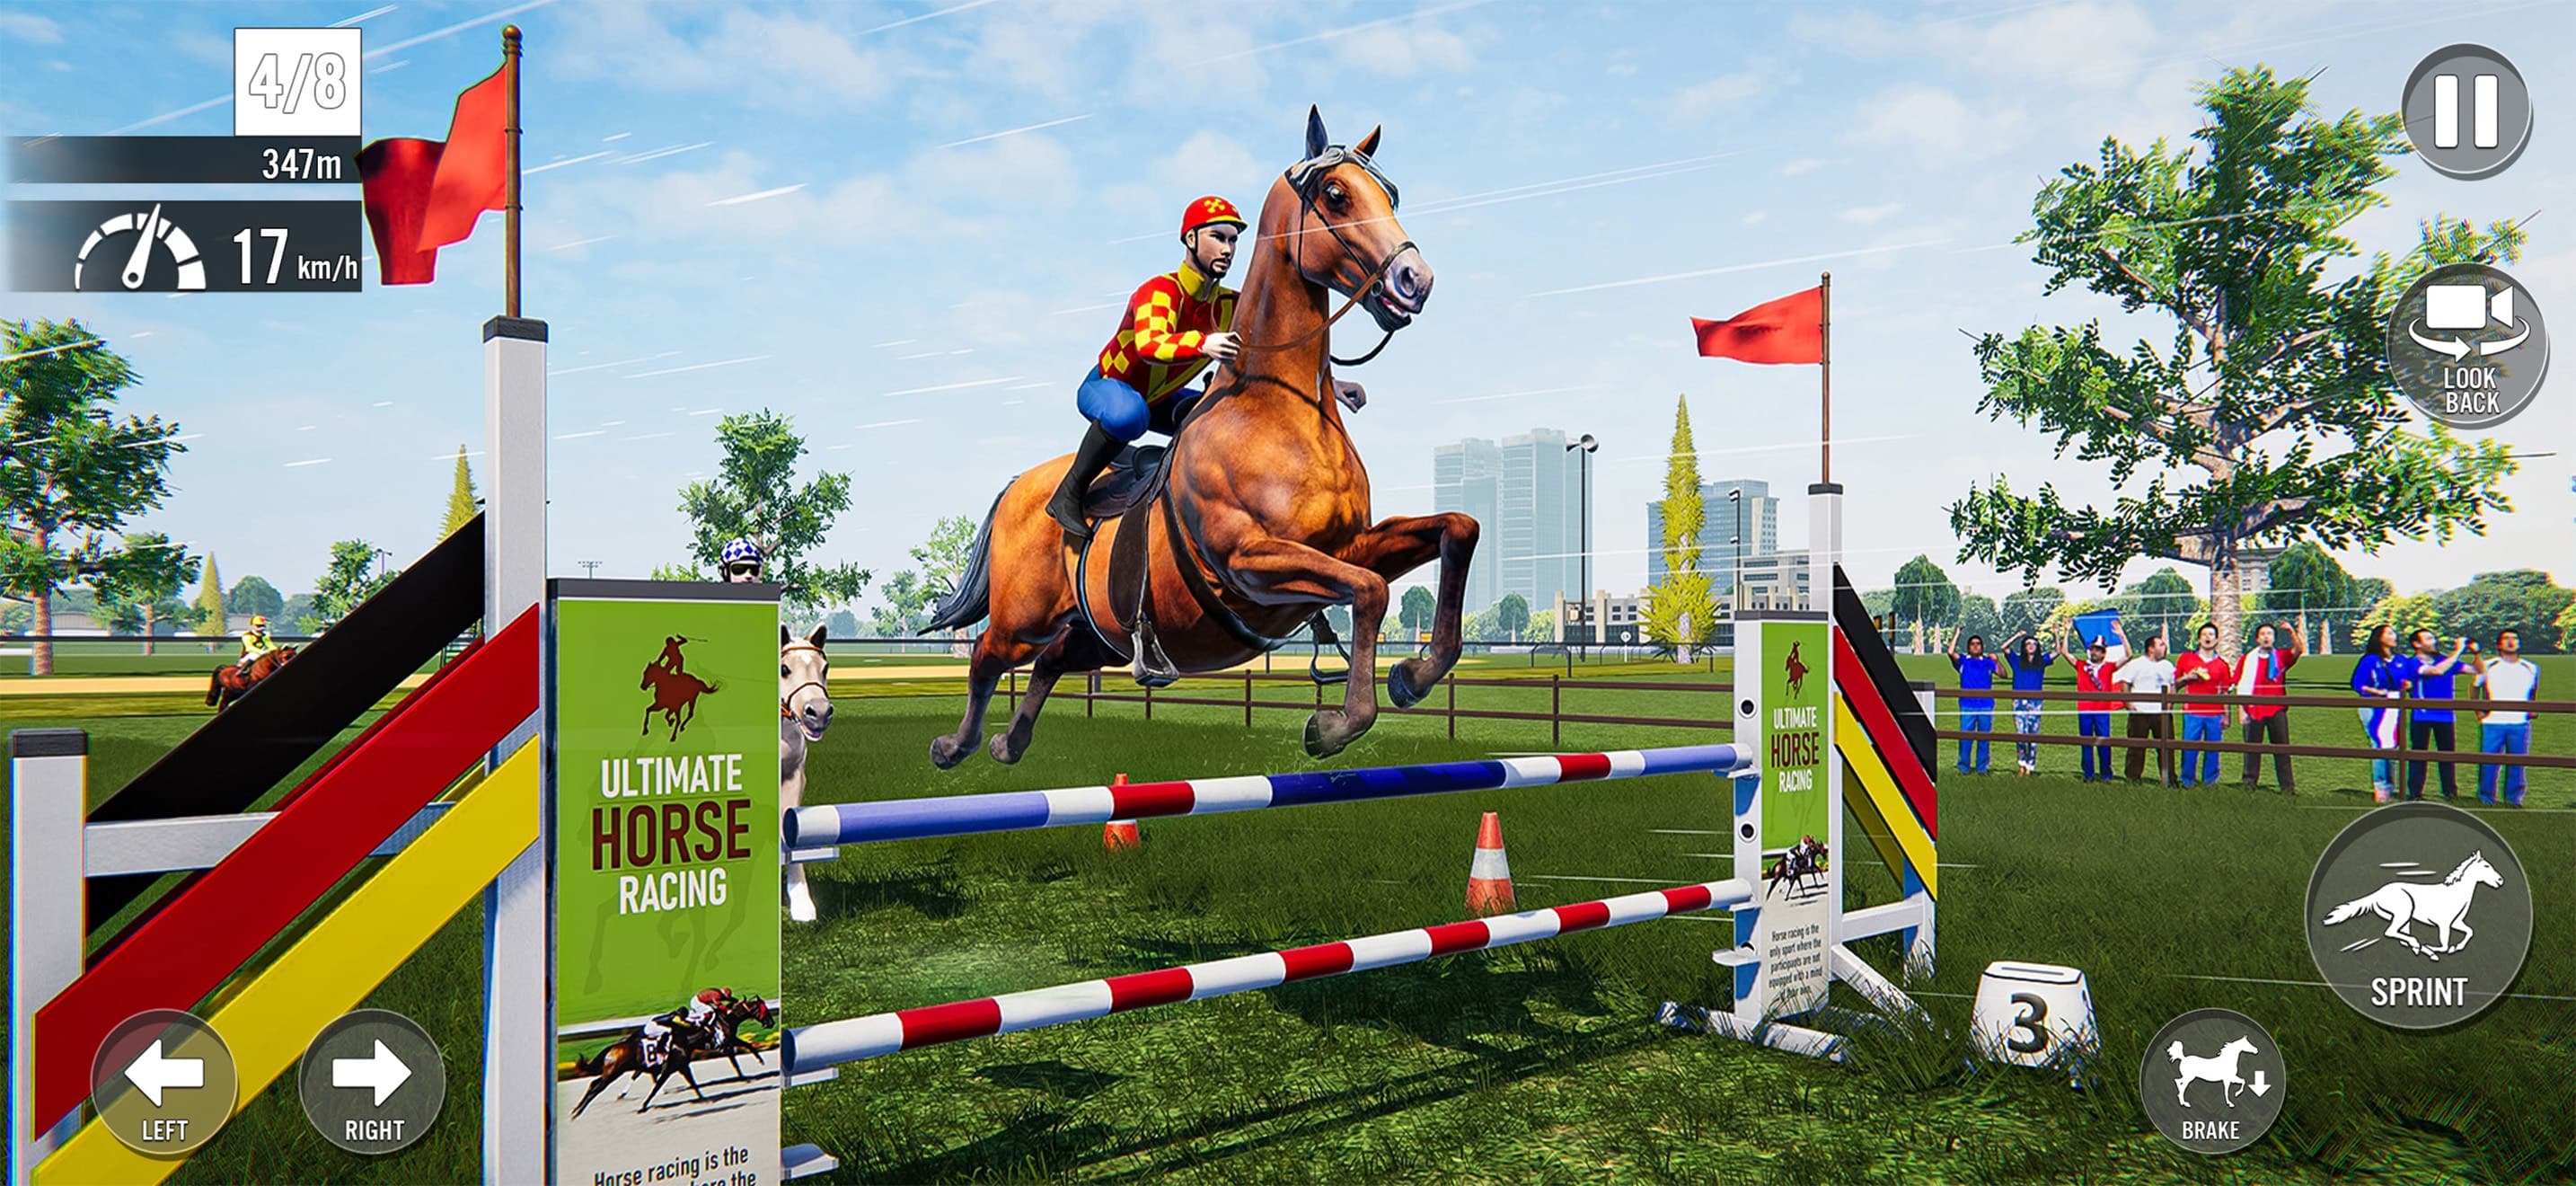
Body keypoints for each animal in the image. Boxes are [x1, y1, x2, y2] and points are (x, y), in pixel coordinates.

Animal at [566, 995, 777, 1119]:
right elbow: (740, 1053)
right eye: (763, 1009)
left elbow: (691, 1081)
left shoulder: (682, 1064)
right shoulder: (724, 1042)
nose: (771, 1022)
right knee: (597, 1086)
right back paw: (578, 1111)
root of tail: (614, 1047)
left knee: (599, 1083)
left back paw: (580, 1109)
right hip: (614, 1071)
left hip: (617, 1070)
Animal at [924, 107, 1470, 768]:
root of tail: (1018, 486)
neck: (1280, 410)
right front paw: (1336, 724)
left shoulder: (1348, 547)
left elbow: (1457, 530)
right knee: (985, 658)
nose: (1416, 279)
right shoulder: (1250, 562)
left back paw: (1012, 741)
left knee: (1052, 660)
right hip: (1020, 618)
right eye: (1336, 195)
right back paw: (955, 744)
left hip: (1098, 633)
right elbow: (1368, 593)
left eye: (1390, 194)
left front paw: (1414, 675)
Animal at [2320, 850, 2504, 961]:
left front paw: (2456, 948)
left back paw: (2420, 949)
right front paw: (2437, 949)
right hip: (2404, 913)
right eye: (2486, 866)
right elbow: (2444, 945)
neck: (2456, 893)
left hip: (2403, 918)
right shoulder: (2444, 924)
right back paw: (2421, 947)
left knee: (2401, 936)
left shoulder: (2456, 922)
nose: (2500, 880)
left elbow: (2469, 932)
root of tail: (2378, 893)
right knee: (2391, 933)